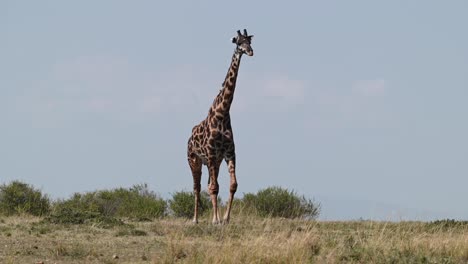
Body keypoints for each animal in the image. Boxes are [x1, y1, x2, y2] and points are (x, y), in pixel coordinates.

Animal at [187, 28, 254, 224]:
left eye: (249, 41)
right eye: (238, 42)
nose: (250, 52)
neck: (222, 114)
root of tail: (189, 138)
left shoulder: (229, 153)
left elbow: (232, 185)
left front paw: (224, 218)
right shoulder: (210, 154)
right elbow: (214, 188)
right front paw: (216, 220)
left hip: (214, 162)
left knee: (209, 184)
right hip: (194, 160)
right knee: (197, 187)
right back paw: (195, 219)